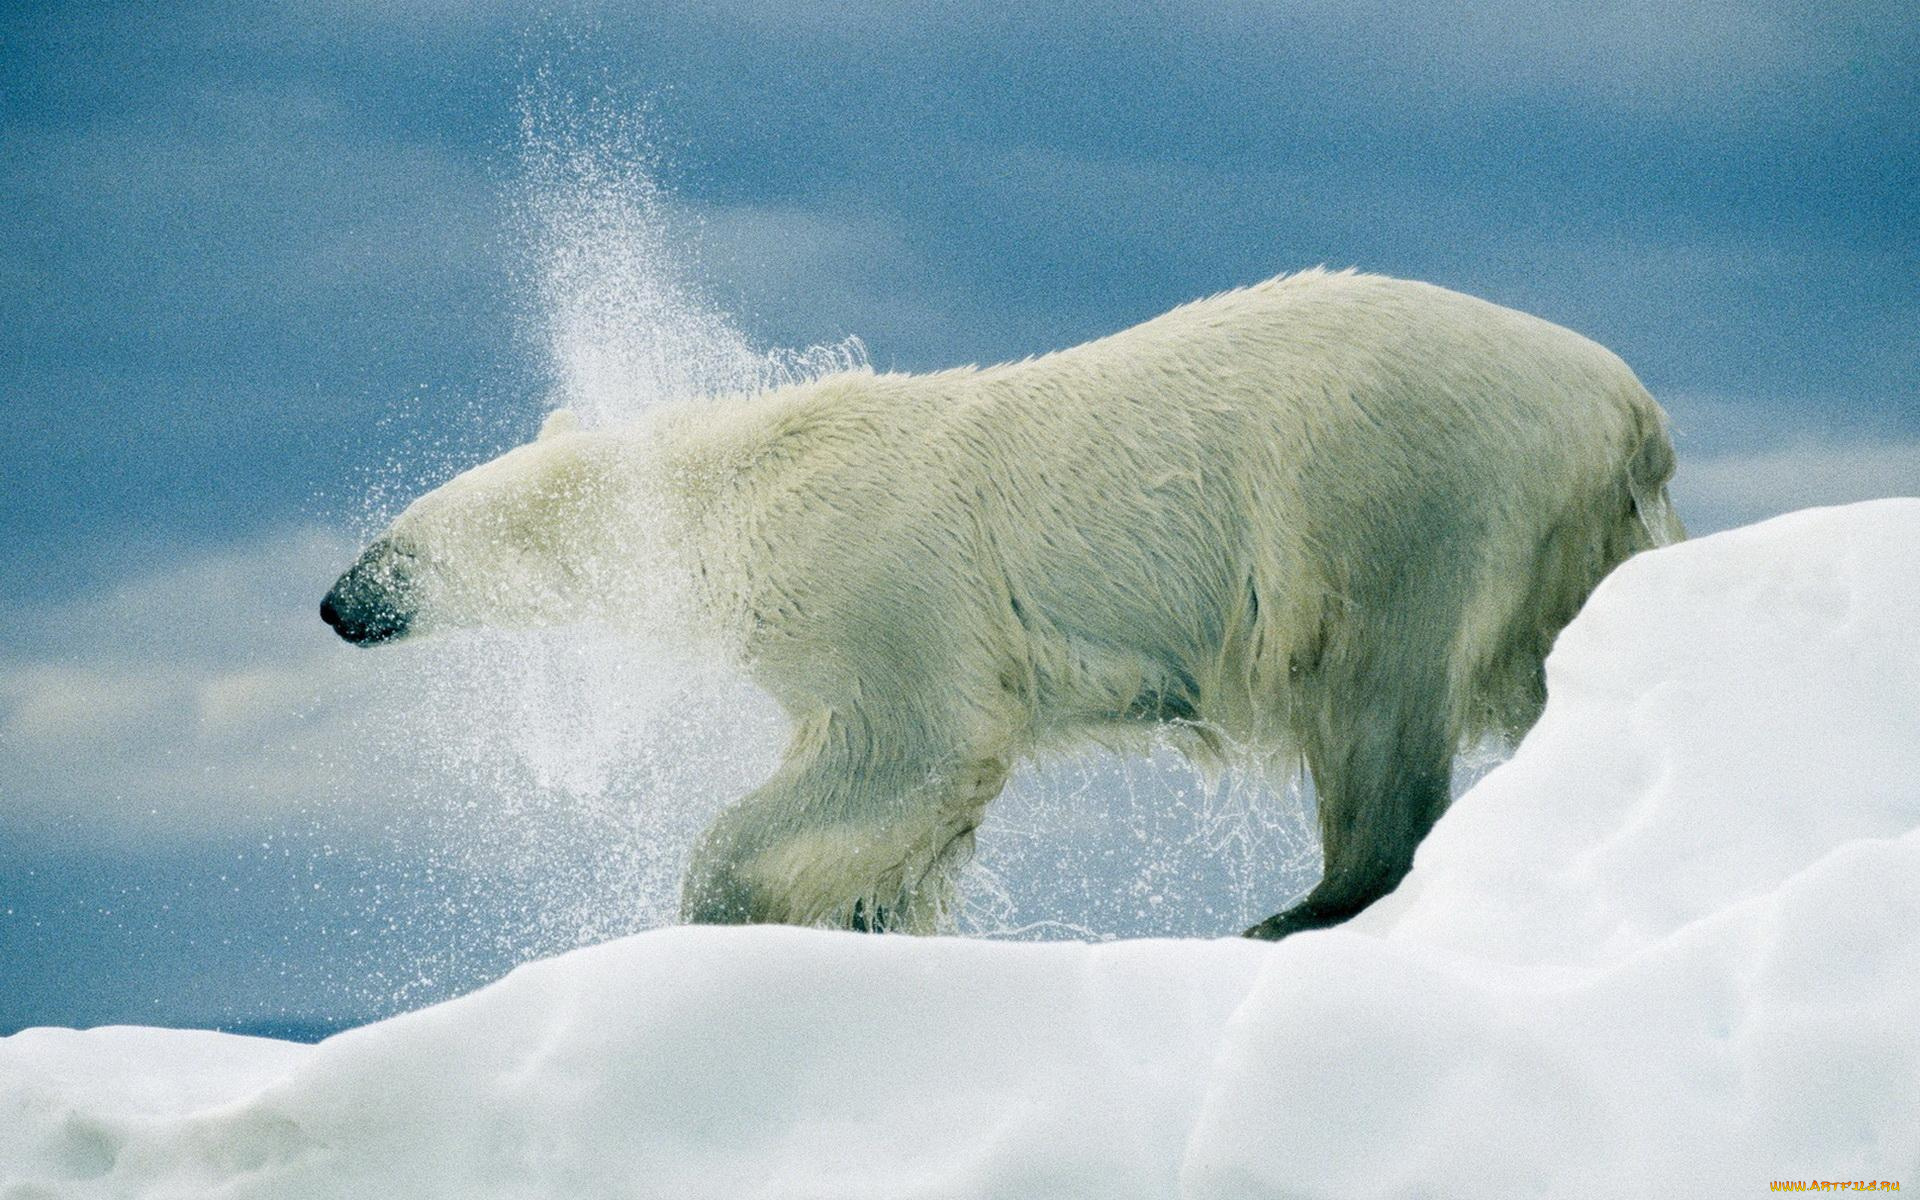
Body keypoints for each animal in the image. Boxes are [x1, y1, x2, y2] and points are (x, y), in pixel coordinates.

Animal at [326, 268, 1681, 936]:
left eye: (402, 547)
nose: (337, 605)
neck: (737, 484)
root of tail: (1626, 404)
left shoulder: (874, 580)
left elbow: (908, 745)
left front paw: (723, 906)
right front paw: (867, 914)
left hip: (1389, 488)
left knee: (1372, 698)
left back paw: (1302, 909)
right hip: (1567, 532)